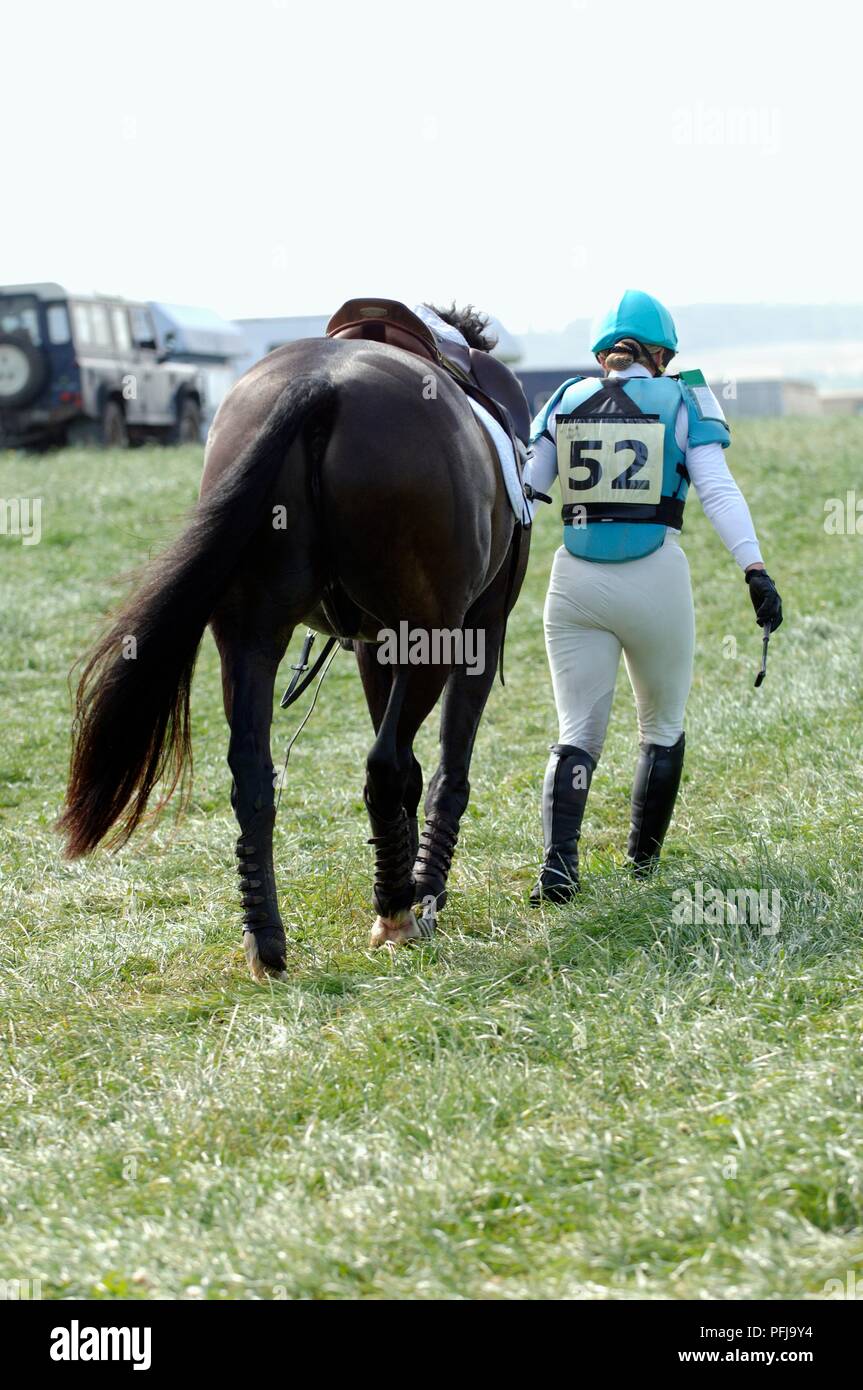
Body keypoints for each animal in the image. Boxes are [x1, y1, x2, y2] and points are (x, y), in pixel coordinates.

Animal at [57, 304, 528, 978]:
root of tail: (321, 386)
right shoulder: (476, 631)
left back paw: (268, 938)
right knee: (386, 766)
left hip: (250, 637)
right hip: (430, 632)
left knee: (254, 776)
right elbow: (444, 770)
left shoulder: (375, 643)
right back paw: (396, 911)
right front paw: (425, 888)